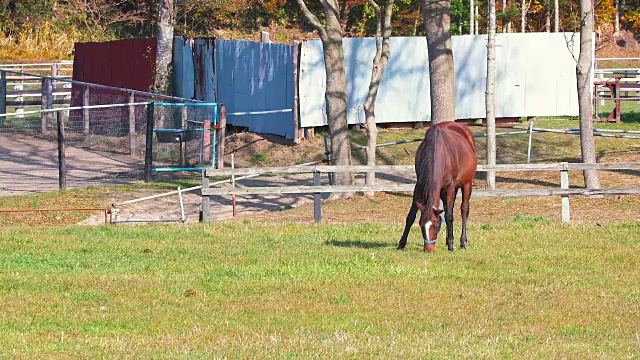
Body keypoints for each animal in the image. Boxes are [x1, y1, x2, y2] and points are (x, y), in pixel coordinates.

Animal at [398, 122, 478, 252]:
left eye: (436, 225)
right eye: (421, 224)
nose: (429, 248)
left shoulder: (450, 187)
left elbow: (449, 216)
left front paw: (451, 245)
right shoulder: (419, 186)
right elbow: (411, 216)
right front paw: (401, 244)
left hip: (466, 184)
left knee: (464, 210)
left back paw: (462, 242)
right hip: (443, 191)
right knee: (447, 208)